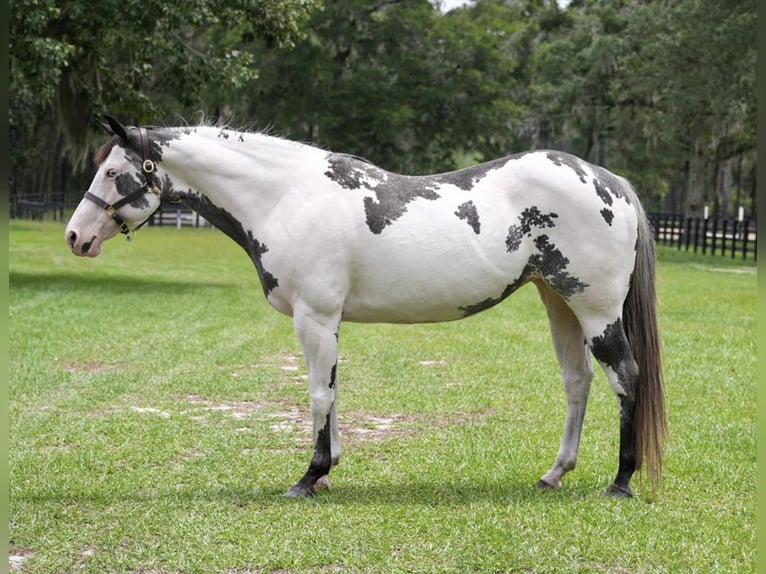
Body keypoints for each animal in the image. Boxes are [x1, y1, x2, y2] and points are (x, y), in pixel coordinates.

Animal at [65, 115, 667, 499]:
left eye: (113, 173)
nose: (75, 237)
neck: (285, 196)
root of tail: (611, 181)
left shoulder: (314, 317)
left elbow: (316, 395)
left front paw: (307, 478)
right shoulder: (327, 321)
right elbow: (332, 394)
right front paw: (326, 472)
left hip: (596, 311)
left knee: (625, 377)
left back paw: (621, 481)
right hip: (558, 302)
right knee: (577, 382)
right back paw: (554, 474)